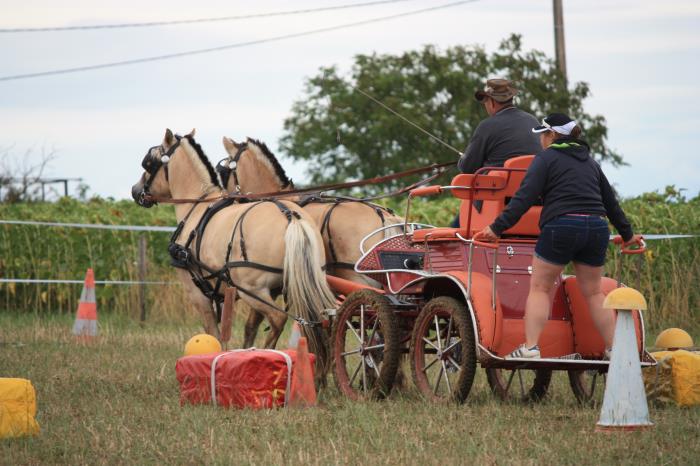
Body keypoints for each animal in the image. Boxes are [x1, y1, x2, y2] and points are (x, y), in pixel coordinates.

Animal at [133, 128, 336, 374]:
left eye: (148, 163)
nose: (135, 191)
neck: (197, 205)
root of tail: (290, 216)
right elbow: (248, 328)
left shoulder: (197, 293)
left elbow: (213, 333)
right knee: (321, 322)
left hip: (251, 289)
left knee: (279, 319)